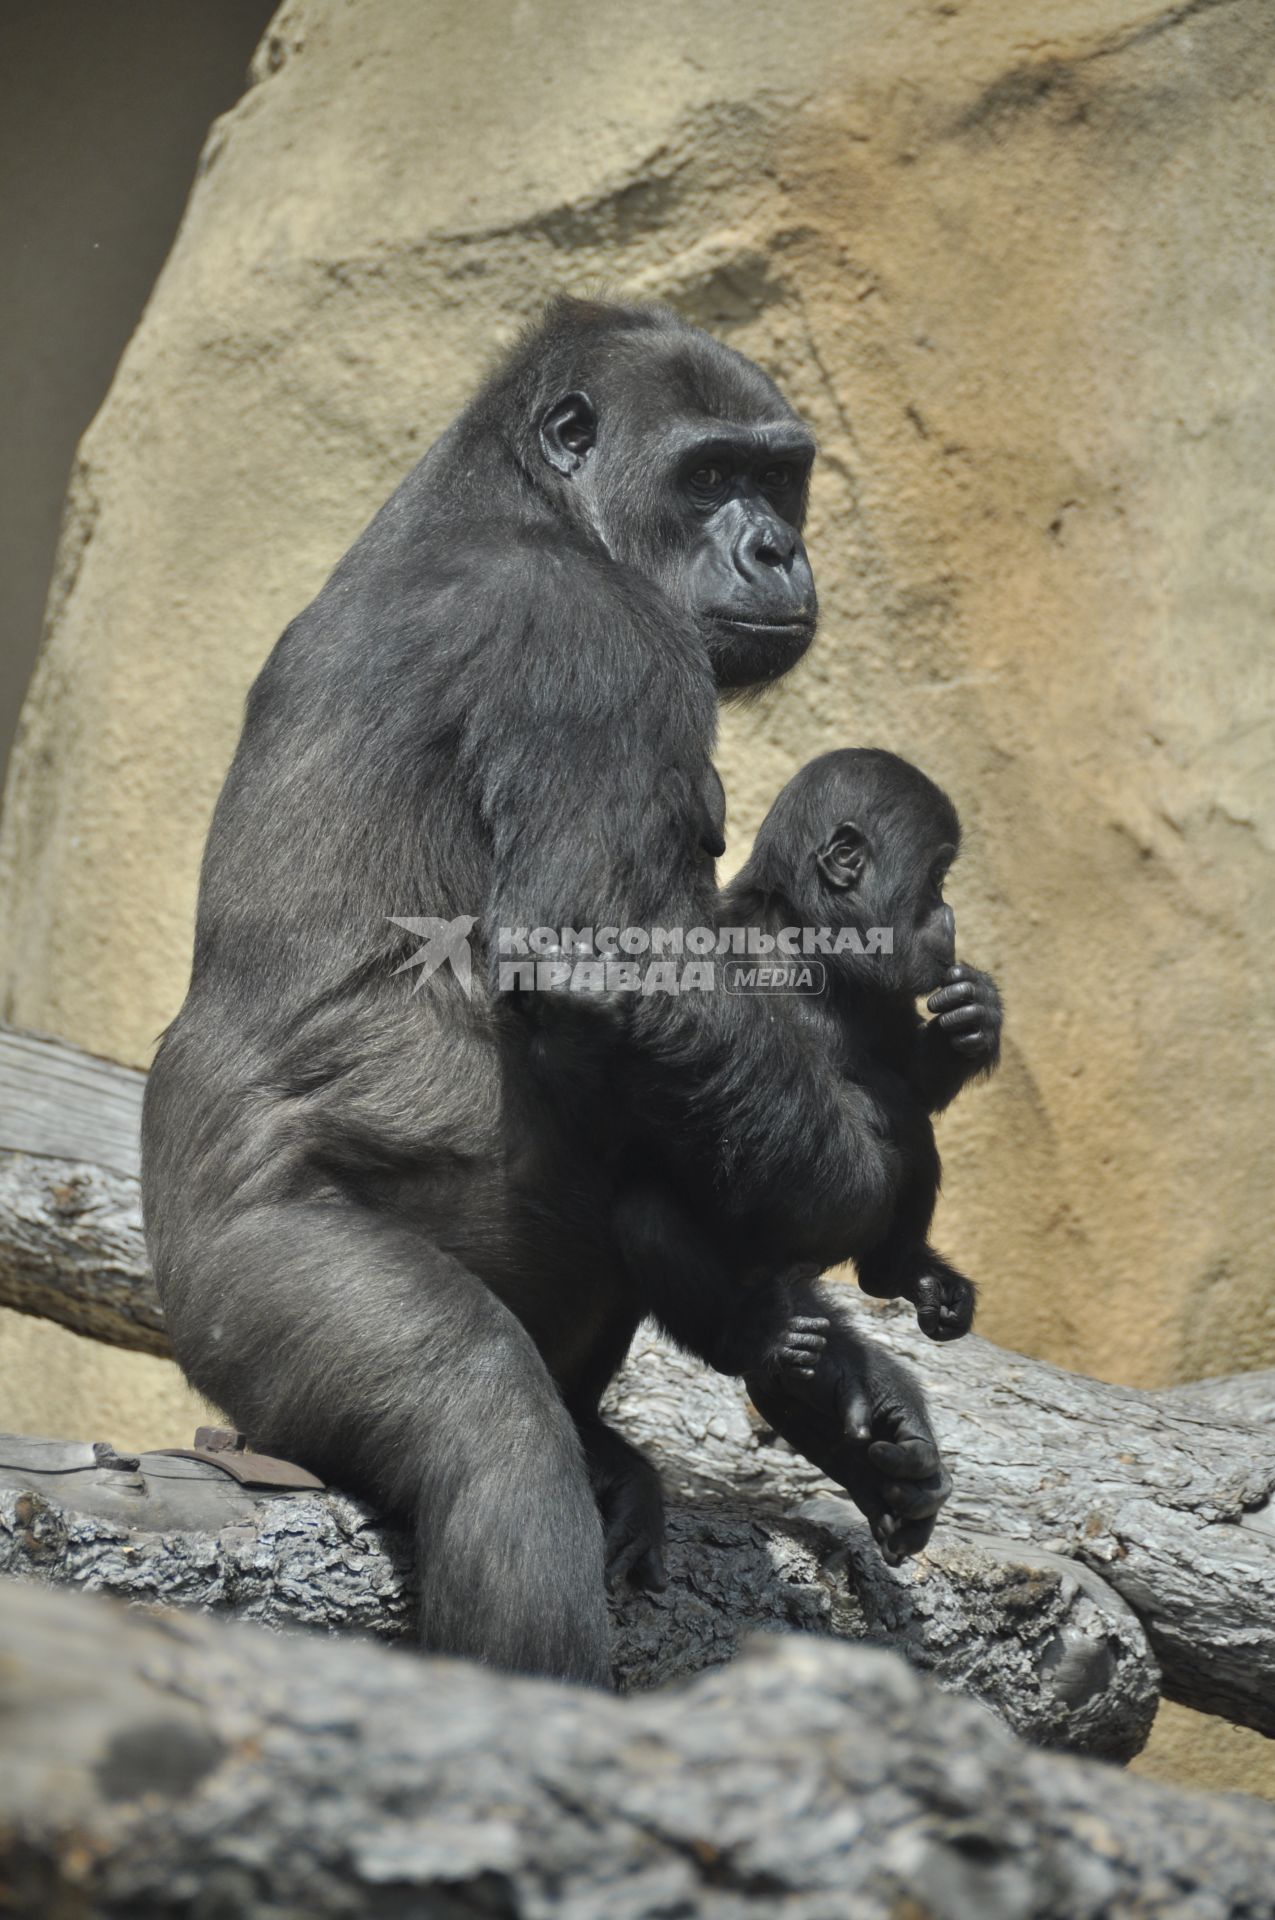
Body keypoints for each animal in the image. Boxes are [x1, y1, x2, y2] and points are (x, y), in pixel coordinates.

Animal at [142, 295, 944, 1681]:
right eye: (711, 478)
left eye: (779, 477)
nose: (778, 545)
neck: (526, 493)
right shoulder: (590, 635)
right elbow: (593, 954)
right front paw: (866, 1183)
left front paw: (840, 1381)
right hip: (228, 1300)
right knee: (485, 1417)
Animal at [614, 741, 998, 1405]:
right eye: (935, 880)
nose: (949, 916)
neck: (807, 942)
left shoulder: (881, 989)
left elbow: (911, 1079)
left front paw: (976, 1018)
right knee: (647, 1220)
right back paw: (752, 1337)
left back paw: (905, 1271)